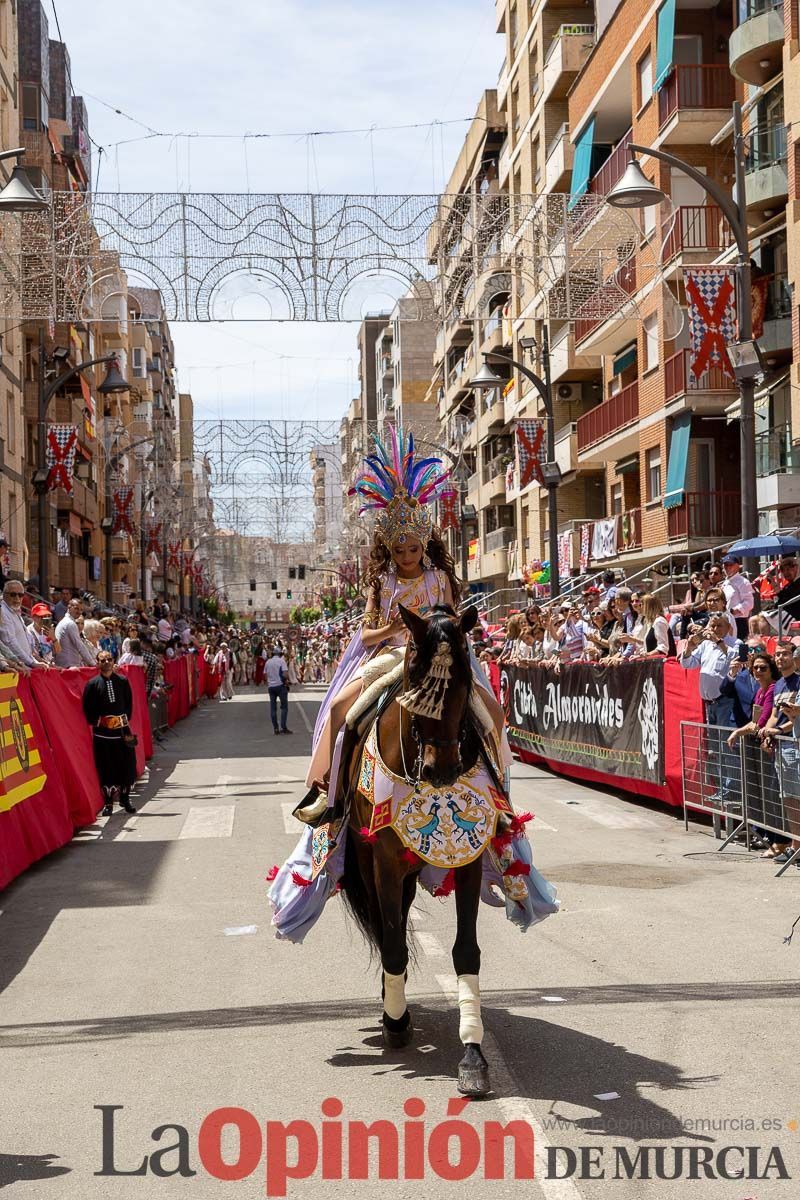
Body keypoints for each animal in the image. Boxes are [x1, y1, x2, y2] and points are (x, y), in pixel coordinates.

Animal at [335, 604, 491, 1094]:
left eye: (463, 684)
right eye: (417, 684)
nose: (442, 771)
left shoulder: (469, 860)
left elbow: (466, 951)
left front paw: (473, 1056)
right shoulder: (383, 862)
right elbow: (392, 943)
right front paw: (395, 1022)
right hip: (372, 864)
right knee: (389, 930)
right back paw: (393, 1005)